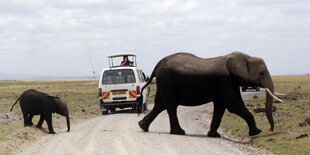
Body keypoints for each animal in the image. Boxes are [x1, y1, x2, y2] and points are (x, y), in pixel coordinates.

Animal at [139, 51, 282, 137]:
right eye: (261, 73)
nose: (270, 130)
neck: (245, 57)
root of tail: (158, 64)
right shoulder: (227, 80)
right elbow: (233, 105)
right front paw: (256, 132)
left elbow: (220, 106)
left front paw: (214, 135)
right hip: (167, 81)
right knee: (171, 106)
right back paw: (179, 132)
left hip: (163, 83)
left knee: (160, 105)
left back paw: (143, 127)